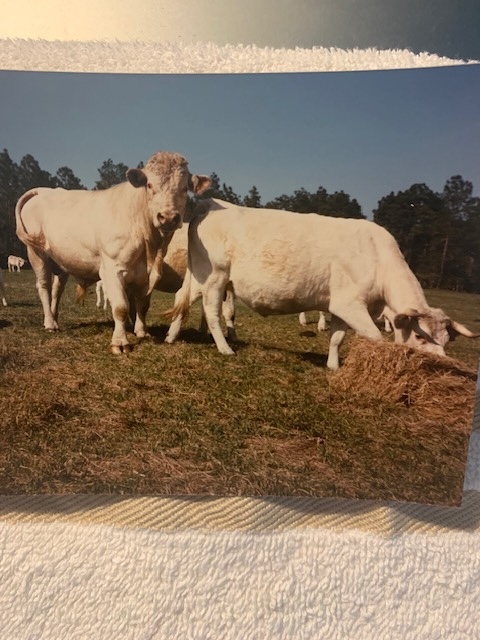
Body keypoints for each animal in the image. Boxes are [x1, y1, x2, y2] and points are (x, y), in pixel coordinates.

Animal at [15, 151, 211, 353]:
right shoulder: (112, 269)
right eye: (149, 185)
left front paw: (142, 332)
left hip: (61, 260)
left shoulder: (146, 275)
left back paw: (55, 319)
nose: (169, 217)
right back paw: (49, 323)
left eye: (184, 188)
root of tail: (44, 191)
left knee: (56, 289)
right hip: (36, 253)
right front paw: (120, 342)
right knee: (44, 286)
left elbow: (143, 305)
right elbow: (121, 307)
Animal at [165, 198, 479, 369]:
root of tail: (211, 204)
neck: (378, 258)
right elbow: (375, 338)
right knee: (212, 312)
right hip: (216, 277)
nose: (439, 364)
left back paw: (171, 337)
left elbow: (337, 338)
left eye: (446, 340)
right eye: (419, 337)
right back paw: (224, 348)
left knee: (183, 299)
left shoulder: (340, 307)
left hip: (201, 277)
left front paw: (333, 366)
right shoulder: (351, 305)